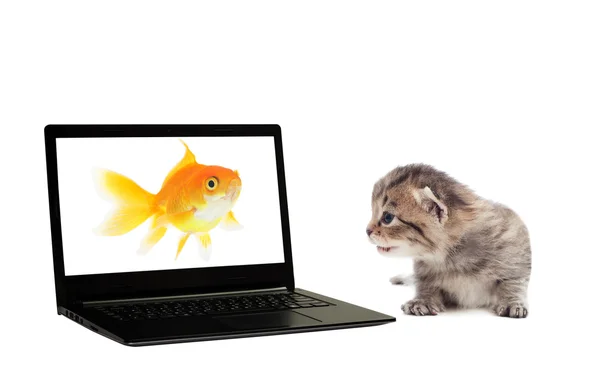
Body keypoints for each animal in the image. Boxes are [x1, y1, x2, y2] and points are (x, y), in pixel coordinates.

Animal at [368, 165, 532, 318]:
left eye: (387, 217)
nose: (367, 231)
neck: (451, 257)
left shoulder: (515, 247)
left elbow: (512, 283)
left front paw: (512, 302)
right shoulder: (424, 271)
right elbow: (426, 285)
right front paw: (423, 300)